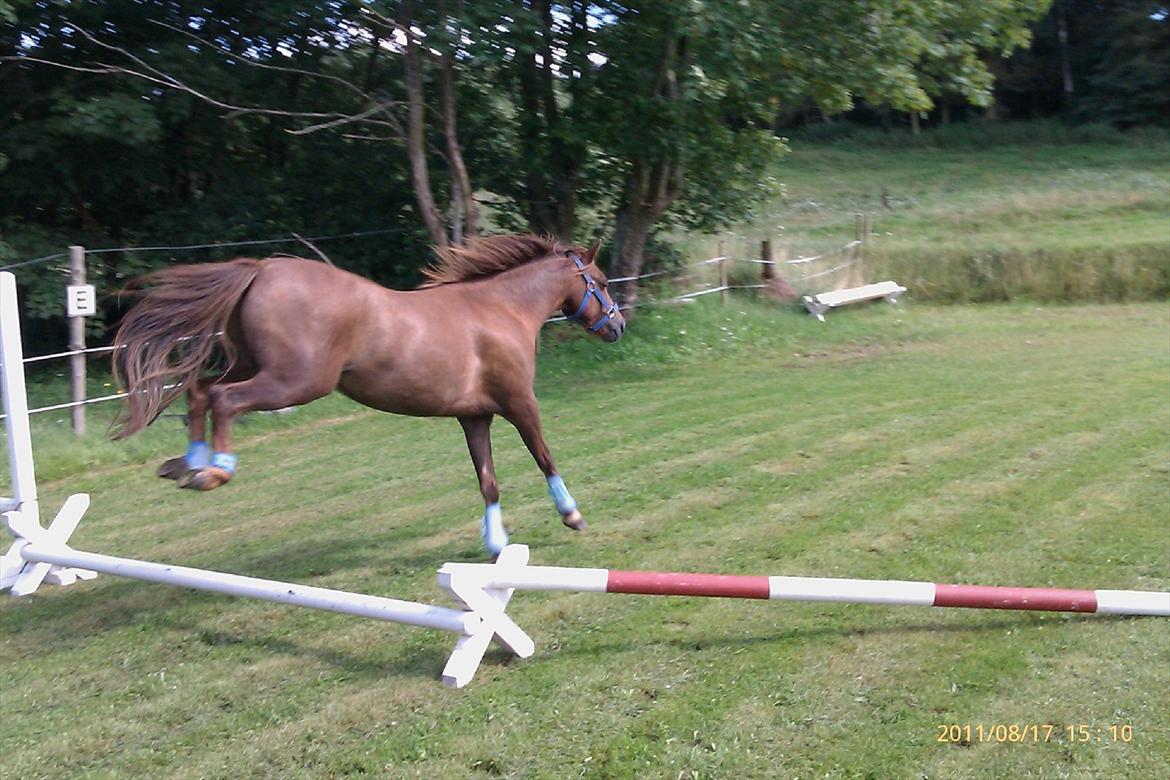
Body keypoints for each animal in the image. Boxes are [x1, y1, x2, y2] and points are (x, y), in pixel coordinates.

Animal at [111, 234, 625, 556]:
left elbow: (488, 480)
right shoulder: (520, 403)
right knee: (224, 400)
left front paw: (496, 544)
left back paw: (189, 465)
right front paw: (572, 515)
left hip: (252, 365)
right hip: (293, 381)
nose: (618, 325)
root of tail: (260, 270)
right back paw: (215, 471)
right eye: (600, 281)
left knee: (199, 392)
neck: (499, 310)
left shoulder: (474, 416)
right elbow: (545, 457)